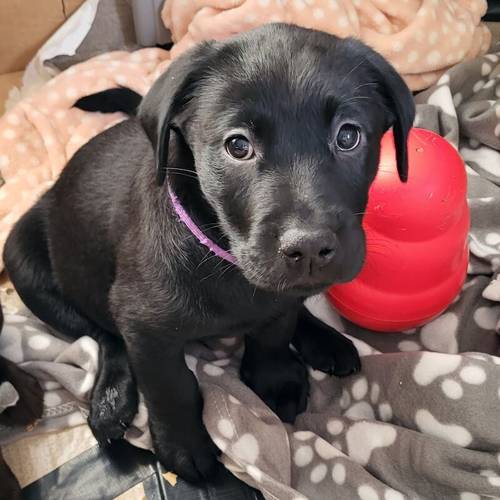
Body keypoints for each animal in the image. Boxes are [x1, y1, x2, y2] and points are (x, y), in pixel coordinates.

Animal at [3, 24, 414, 484]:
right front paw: (183, 447)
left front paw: (275, 378)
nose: (308, 247)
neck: (223, 257)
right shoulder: (144, 326)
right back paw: (111, 399)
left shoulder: (277, 297)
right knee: (103, 335)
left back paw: (324, 339)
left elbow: (275, 329)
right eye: (238, 146)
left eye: (348, 136)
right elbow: (170, 385)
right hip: (22, 261)